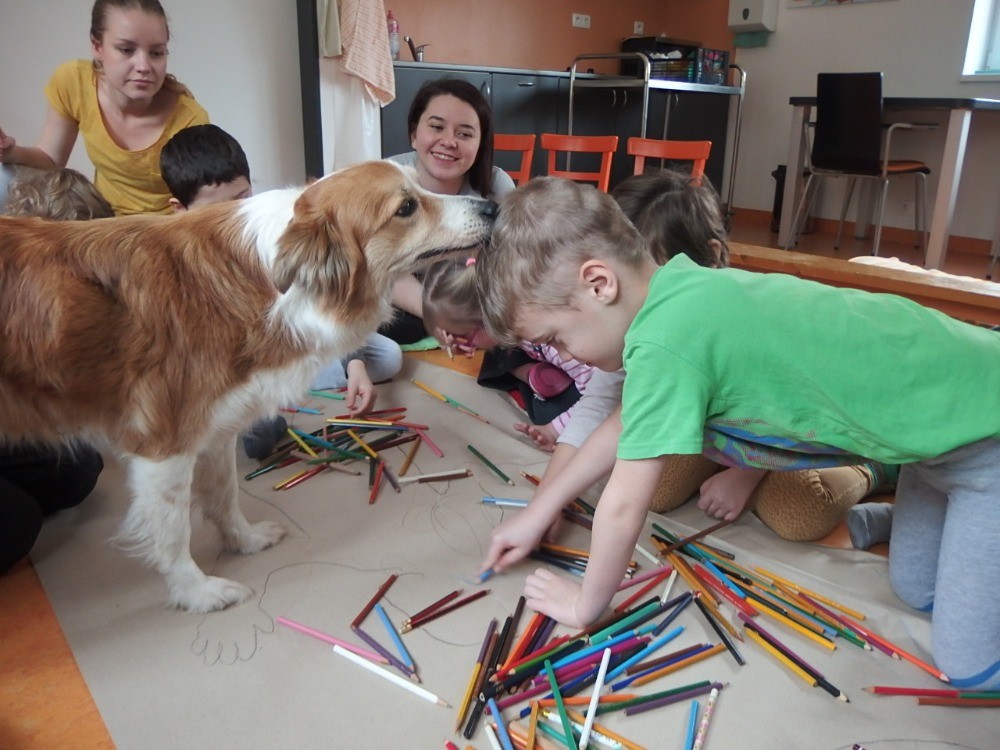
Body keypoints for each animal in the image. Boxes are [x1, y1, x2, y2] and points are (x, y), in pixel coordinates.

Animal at [0, 160, 496, 612]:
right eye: (406, 207)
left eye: (419, 184)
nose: (492, 206)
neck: (278, 284)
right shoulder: (163, 446)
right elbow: (173, 531)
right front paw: (197, 592)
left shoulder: (218, 425)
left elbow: (224, 494)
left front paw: (245, 541)